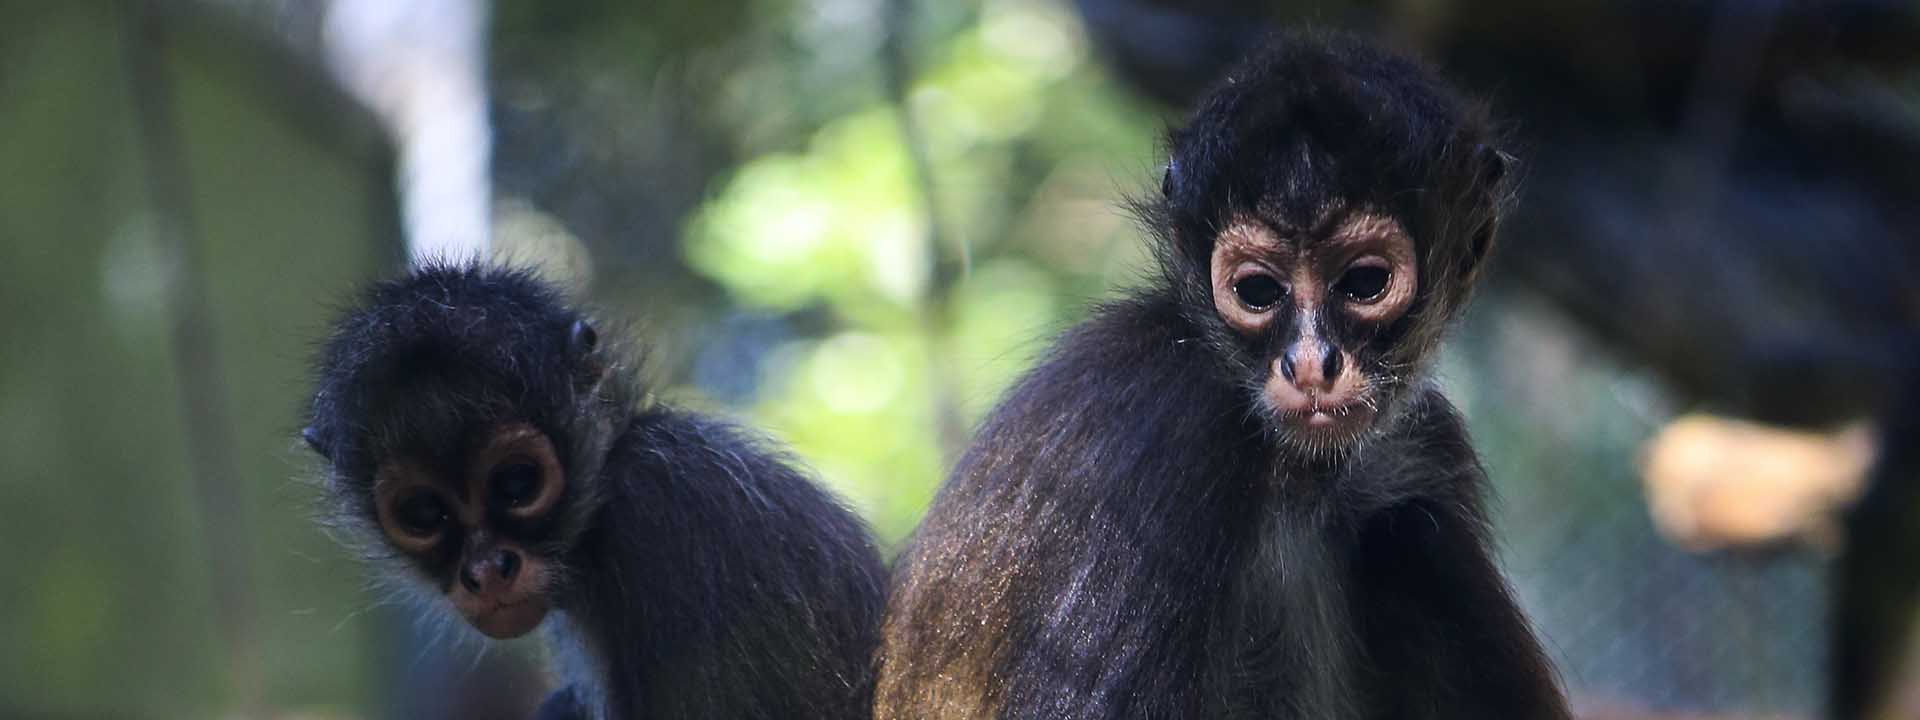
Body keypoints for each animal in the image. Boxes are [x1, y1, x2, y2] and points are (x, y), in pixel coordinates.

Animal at [874, 32, 1572, 719]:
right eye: (1257, 290)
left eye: (1365, 282)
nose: (1311, 365)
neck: (1297, 476)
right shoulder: (1166, 425)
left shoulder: (1424, 442)